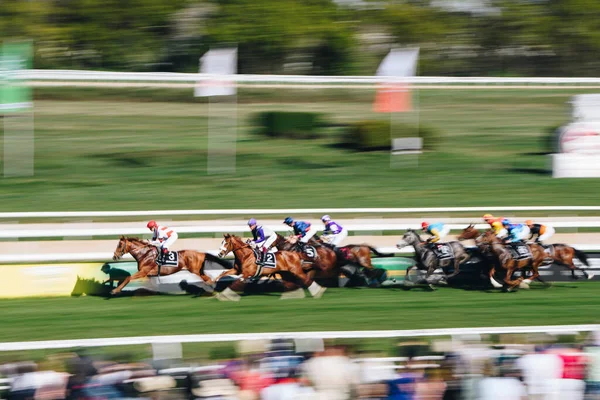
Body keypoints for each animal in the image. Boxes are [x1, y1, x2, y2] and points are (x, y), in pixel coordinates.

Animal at [462, 225, 592, 282]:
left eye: (467, 231)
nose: (459, 237)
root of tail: (570, 247)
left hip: (564, 260)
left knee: (575, 267)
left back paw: (587, 275)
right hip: (561, 262)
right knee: (573, 267)